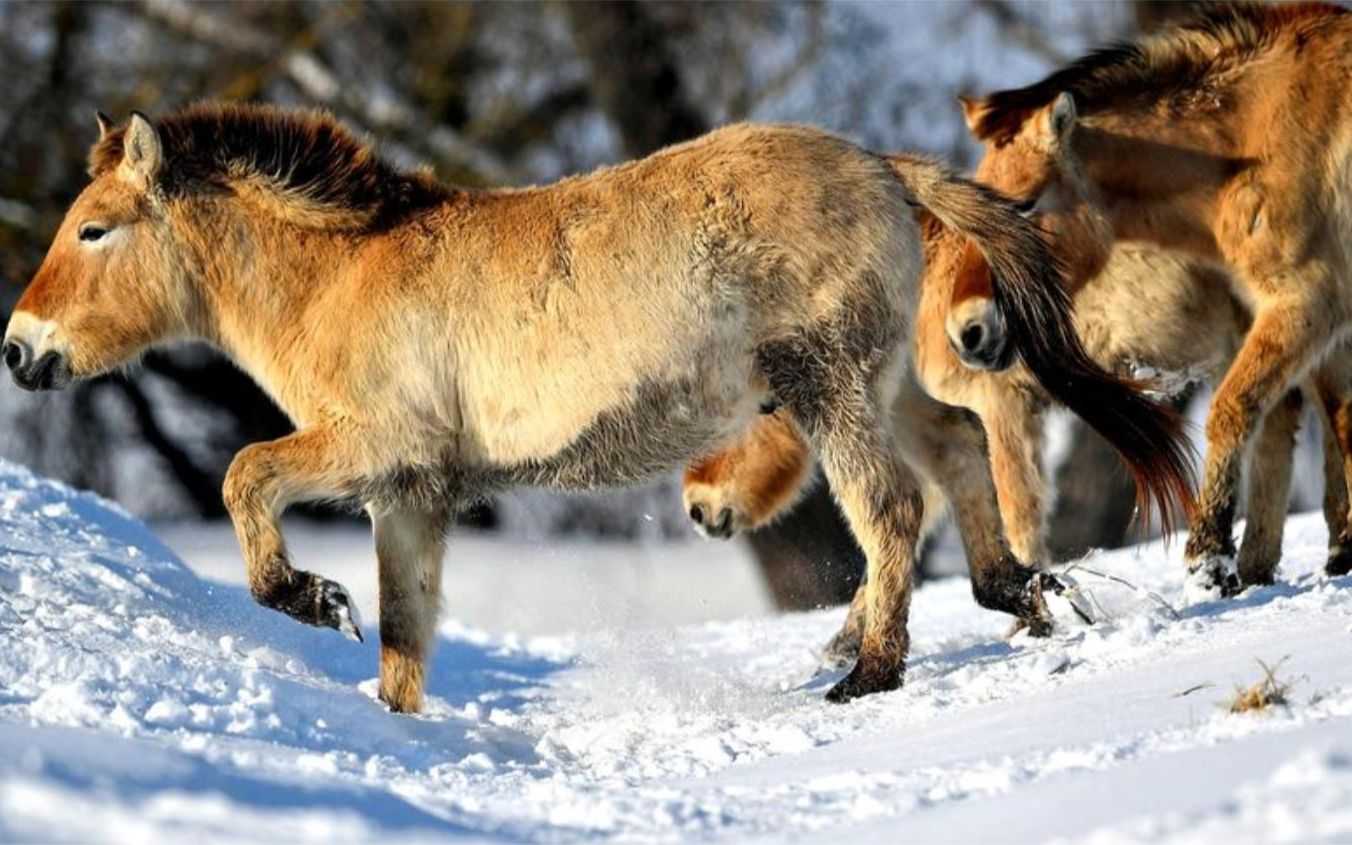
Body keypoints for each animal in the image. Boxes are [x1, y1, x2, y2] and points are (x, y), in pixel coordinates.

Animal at [0, 102, 1189, 708]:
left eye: (94, 228)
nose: (19, 349)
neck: (343, 275)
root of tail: (882, 168)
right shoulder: (408, 495)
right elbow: (404, 639)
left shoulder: (373, 449)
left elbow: (244, 472)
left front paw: (305, 595)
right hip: (877, 379)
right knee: (952, 450)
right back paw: (1009, 592)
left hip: (825, 384)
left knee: (891, 505)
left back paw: (869, 671)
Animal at [957, 1, 1352, 592]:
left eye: (1022, 206)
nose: (967, 331)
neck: (1255, 134)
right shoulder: (1328, 324)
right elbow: (1341, 426)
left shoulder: (1305, 303)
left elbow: (1233, 408)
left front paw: (1208, 555)